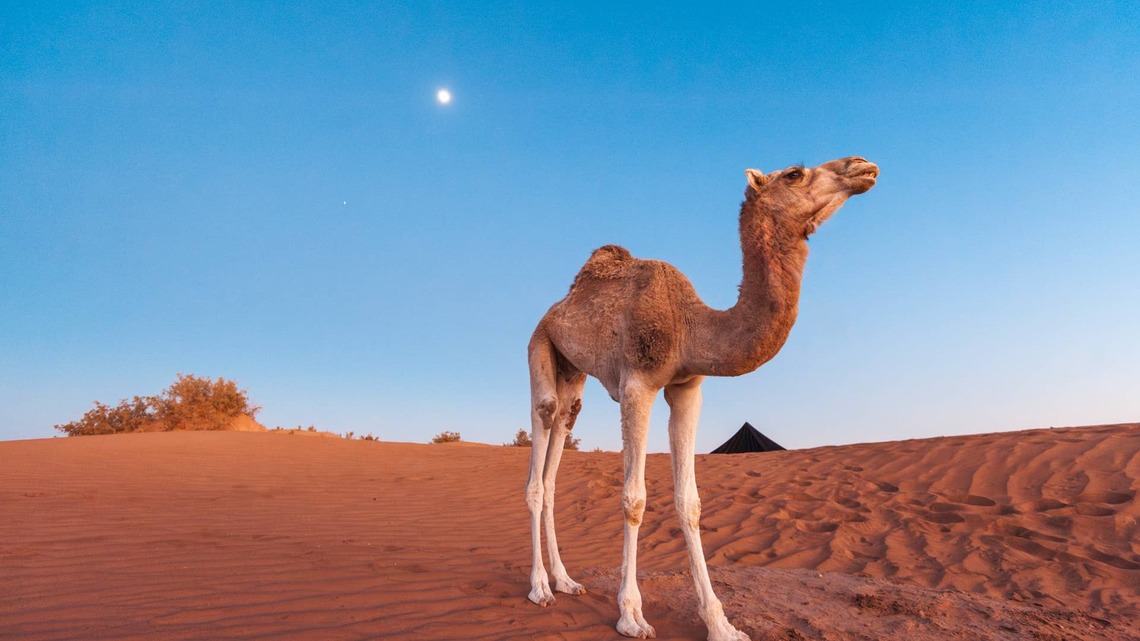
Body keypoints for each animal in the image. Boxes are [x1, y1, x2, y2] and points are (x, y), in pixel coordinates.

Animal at [524, 156, 879, 640]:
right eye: (794, 173)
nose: (862, 166)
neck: (689, 326)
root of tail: (554, 308)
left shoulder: (687, 388)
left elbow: (689, 503)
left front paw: (721, 623)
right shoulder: (637, 386)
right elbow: (634, 500)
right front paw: (631, 615)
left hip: (573, 371)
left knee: (563, 432)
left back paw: (564, 580)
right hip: (540, 344)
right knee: (540, 450)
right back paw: (540, 587)